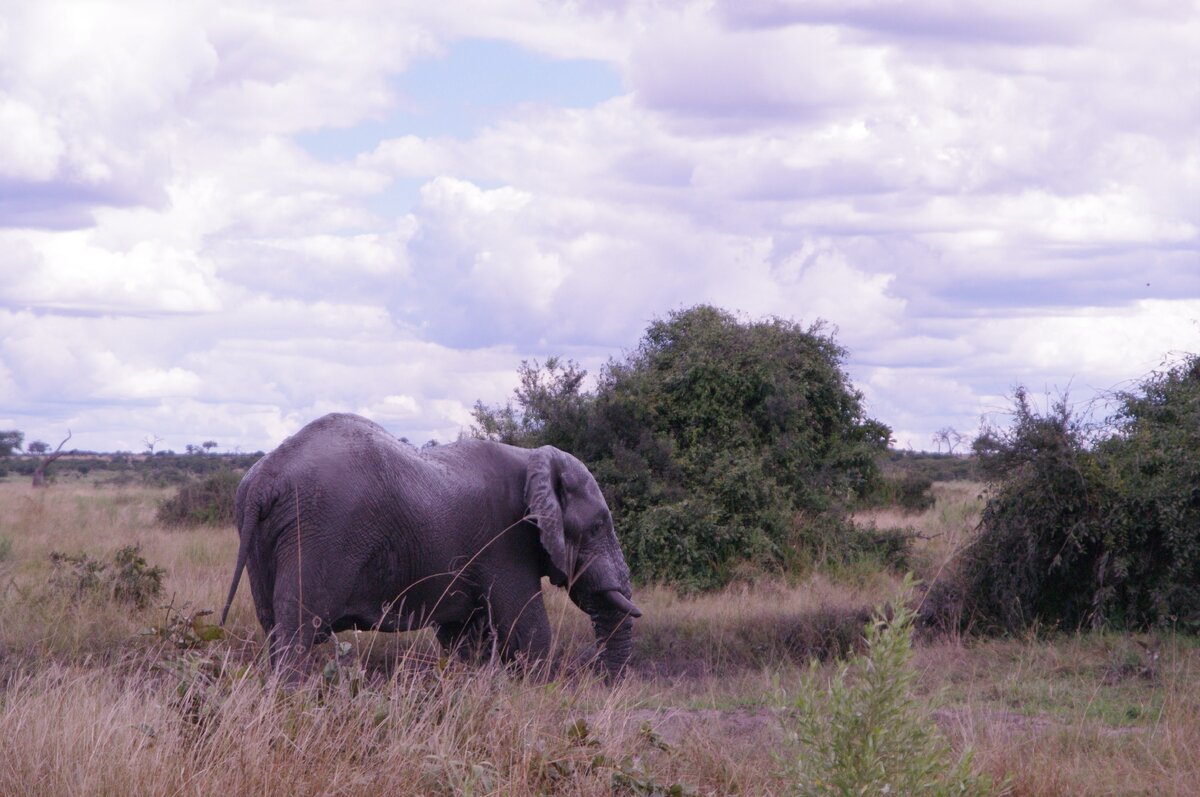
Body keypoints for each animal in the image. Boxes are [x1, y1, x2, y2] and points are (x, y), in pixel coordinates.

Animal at [220, 410, 643, 676]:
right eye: (597, 526)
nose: (602, 682)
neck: (533, 459)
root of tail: (265, 480)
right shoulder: (505, 544)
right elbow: (528, 630)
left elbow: (464, 638)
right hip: (321, 531)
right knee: (299, 629)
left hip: (265, 537)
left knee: (273, 626)